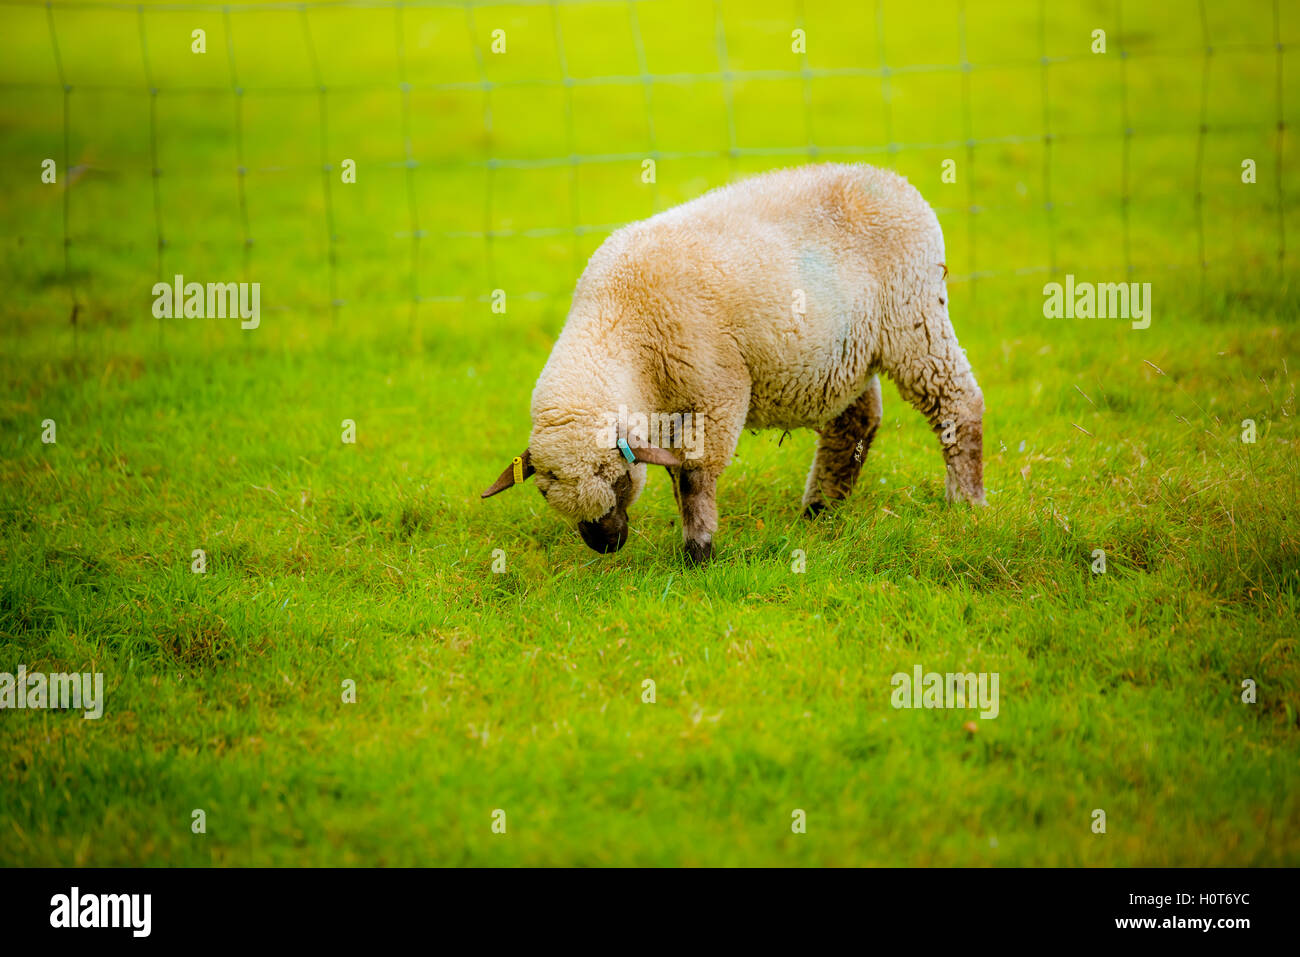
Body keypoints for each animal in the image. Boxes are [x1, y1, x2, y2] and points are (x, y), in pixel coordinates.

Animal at [480, 161, 982, 564]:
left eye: (619, 481)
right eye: (545, 493)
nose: (607, 545)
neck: (619, 317)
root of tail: (891, 179)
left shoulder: (716, 393)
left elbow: (694, 477)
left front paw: (698, 551)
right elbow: (676, 474)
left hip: (914, 318)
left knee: (958, 403)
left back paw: (966, 503)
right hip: (849, 352)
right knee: (854, 424)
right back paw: (820, 510)